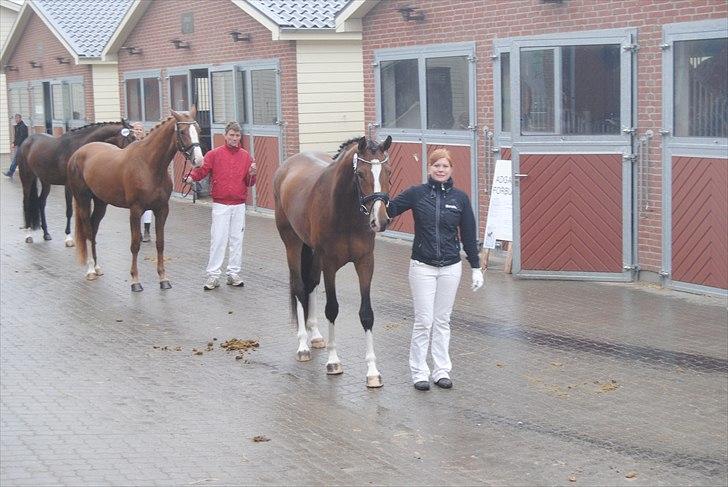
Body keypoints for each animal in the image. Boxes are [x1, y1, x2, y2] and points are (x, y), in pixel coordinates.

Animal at [67, 109, 203, 294]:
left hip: (101, 202)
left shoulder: (162, 209)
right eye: (182, 132)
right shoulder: (136, 210)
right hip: (83, 200)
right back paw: (90, 270)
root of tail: (78, 153)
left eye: (198, 129)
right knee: (88, 231)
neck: (148, 165)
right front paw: (135, 281)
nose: (199, 160)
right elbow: (135, 244)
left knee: (94, 229)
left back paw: (97, 267)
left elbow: (160, 243)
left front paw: (163, 279)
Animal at [274, 135, 392, 390]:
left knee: (310, 284)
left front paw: (372, 372)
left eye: (387, 171)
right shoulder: (329, 264)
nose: (380, 220)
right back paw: (303, 345)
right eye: (360, 174)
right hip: (292, 243)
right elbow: (332, 308)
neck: (345, 211)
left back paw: (316, 335)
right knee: (299, 287)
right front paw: (333, 361)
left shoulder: (365, 263)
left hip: (313, 253)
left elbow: (367, 313)